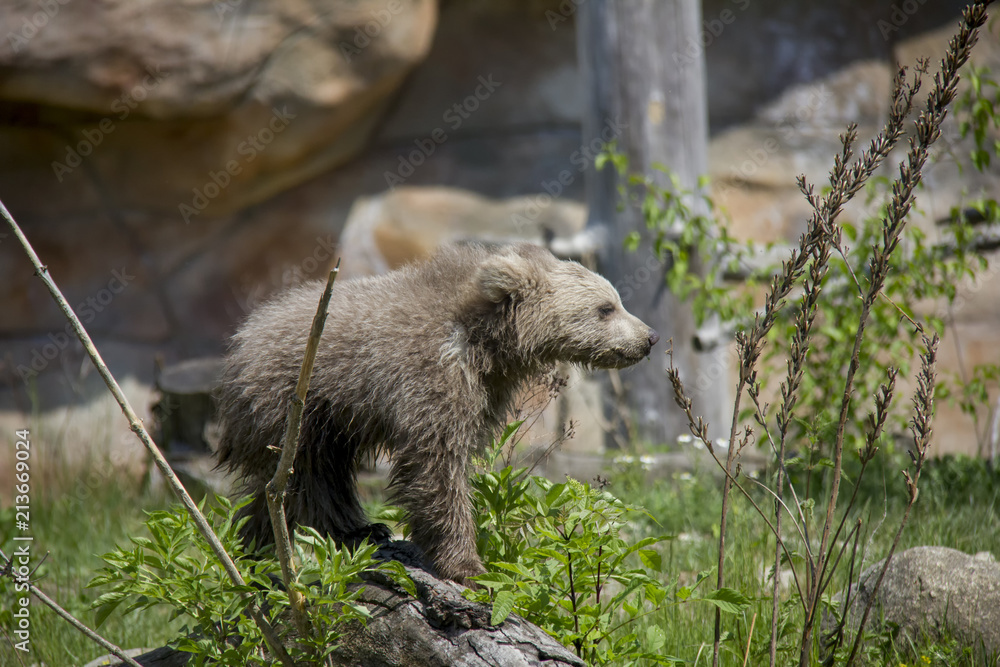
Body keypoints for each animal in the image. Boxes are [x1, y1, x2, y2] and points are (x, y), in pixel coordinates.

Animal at [216, 241, 659, 585]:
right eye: (606, 308)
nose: (649, 338)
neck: (485, 343)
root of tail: (240, 341)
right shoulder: (429, 378)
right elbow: (437, 464)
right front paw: (468, 565)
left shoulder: (486, 390)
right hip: (296, 406)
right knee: (307, 477)